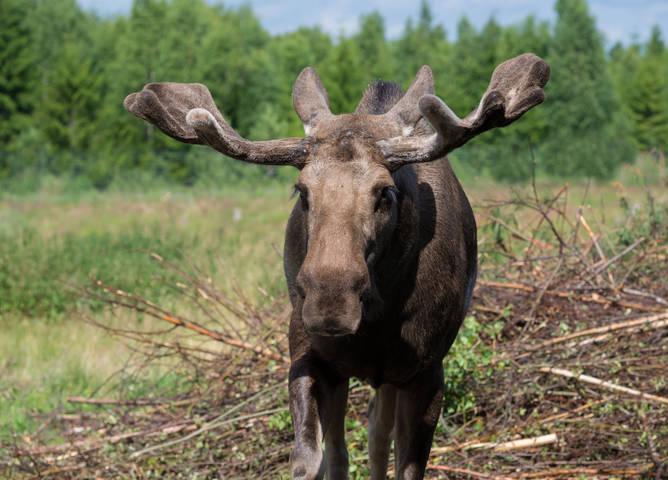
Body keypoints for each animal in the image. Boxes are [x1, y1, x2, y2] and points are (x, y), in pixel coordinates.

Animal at [125, 53, 549, 480]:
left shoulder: (428, 370)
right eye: (301, 191)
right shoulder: (308, 354)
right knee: (348, 445)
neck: (381, 313)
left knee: (378, 433)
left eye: (385, 192)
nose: (330, 304)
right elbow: (311, 459)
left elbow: (405, 464)